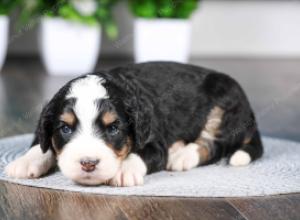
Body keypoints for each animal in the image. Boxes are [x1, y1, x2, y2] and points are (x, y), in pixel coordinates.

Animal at [4, 61, 262, 186]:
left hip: (225, 101)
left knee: (216, 143)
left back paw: (182, 155)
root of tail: (250, 115)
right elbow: (41, 143)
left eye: (113, 128)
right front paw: (25, 162)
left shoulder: (155, 141)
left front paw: (124, 171)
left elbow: (140, 154)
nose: (88, 164)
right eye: (65, 128)